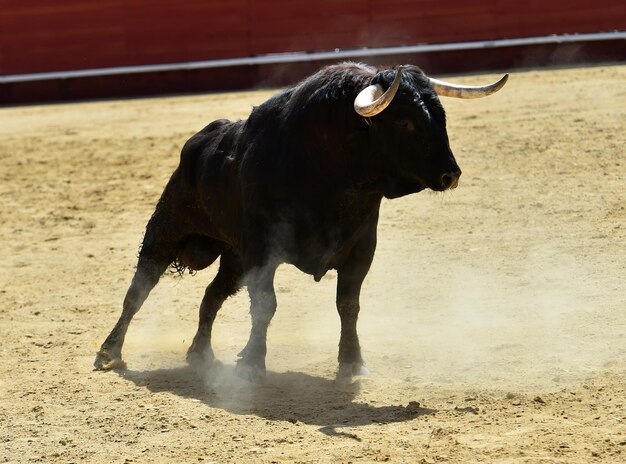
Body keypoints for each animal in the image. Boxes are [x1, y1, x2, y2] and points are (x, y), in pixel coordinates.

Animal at [96, 62, 508, 380]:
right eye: (404, 122)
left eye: (440, 116)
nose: (451, 175)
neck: (331, 170)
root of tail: (197, 143)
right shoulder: (264, 251)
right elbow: (266, 305)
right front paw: (252, 365)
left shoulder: (361, 249)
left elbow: (348, 305)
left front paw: (353, 364)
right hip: (168, 227)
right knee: (139, 290)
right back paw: (108, 352)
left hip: (234, 257)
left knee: (211, 296)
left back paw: (201, 355)